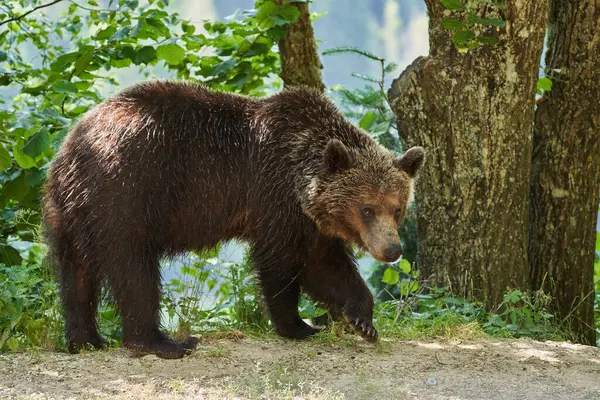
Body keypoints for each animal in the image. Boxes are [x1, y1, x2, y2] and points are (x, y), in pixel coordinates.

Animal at [43, 79, 422, 358]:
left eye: (397, 208)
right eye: (367, 209)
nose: (392, 250)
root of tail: (72, 145)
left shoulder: (308, 220)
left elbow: (326, 265)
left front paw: (362, 320)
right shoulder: (273, 198)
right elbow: (280, 263)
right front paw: (298, 325)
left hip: (70, 211)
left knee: (76, 273)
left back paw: (85, 339)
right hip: (128, 192)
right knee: (134, 267)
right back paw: (162, 342)